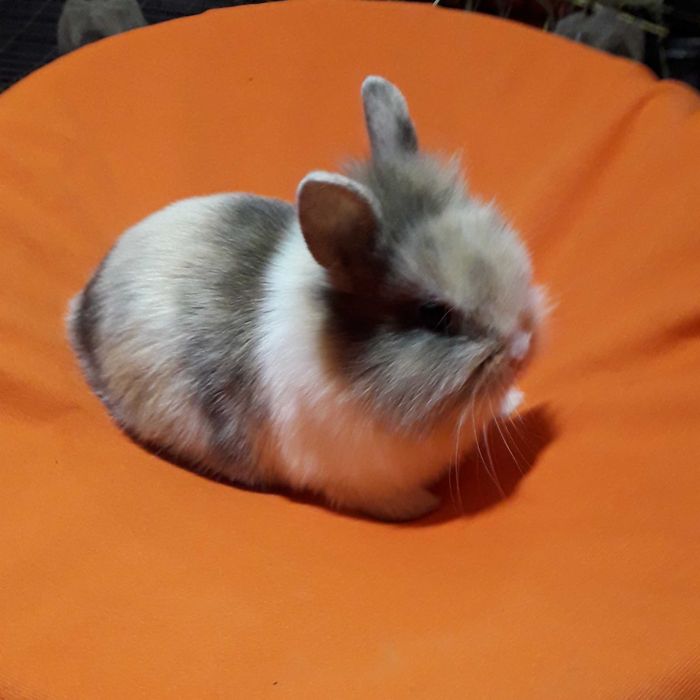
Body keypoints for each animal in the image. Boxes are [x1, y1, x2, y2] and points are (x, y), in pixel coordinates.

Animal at [67, 76, 546, 522]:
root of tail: (84, 305)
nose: (522, 349)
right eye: (435, 316)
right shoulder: (354, 477)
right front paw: (422, 506)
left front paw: (513, 402)